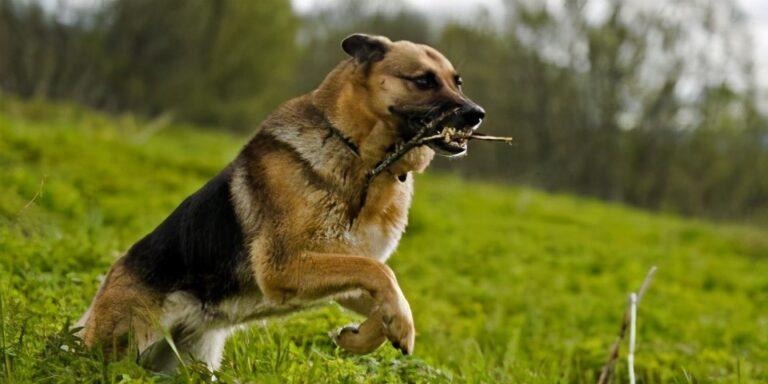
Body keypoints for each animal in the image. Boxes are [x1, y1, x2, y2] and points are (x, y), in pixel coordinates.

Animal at [78, 33, 486, 372]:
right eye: (424, 80)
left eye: (457, 82)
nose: (476, 114)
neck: (362, 160)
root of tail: (110, 277)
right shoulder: (285, 266)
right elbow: (382, 274)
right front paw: (397, 324)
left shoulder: (340, 270)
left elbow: (381, 288)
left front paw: (366, 335)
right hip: (123, 346)